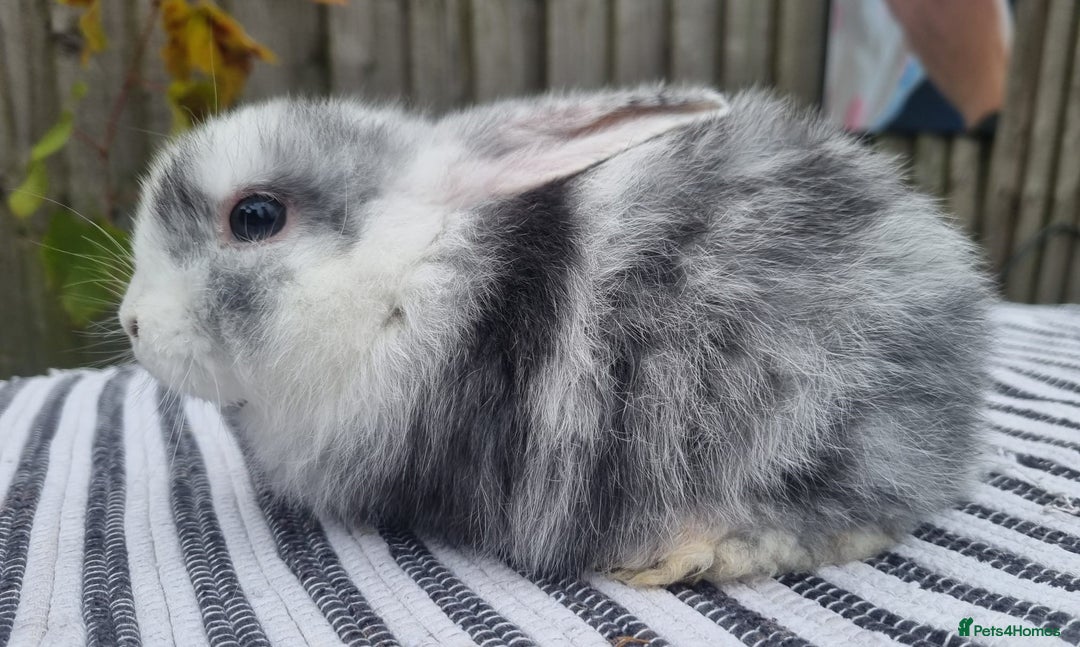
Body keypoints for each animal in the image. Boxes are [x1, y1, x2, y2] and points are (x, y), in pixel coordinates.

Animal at [119, 85, 993, 586]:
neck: (408, 272)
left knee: (860, 520)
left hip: (804, 425)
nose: (131, 324)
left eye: (255, 216)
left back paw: (688, 555)